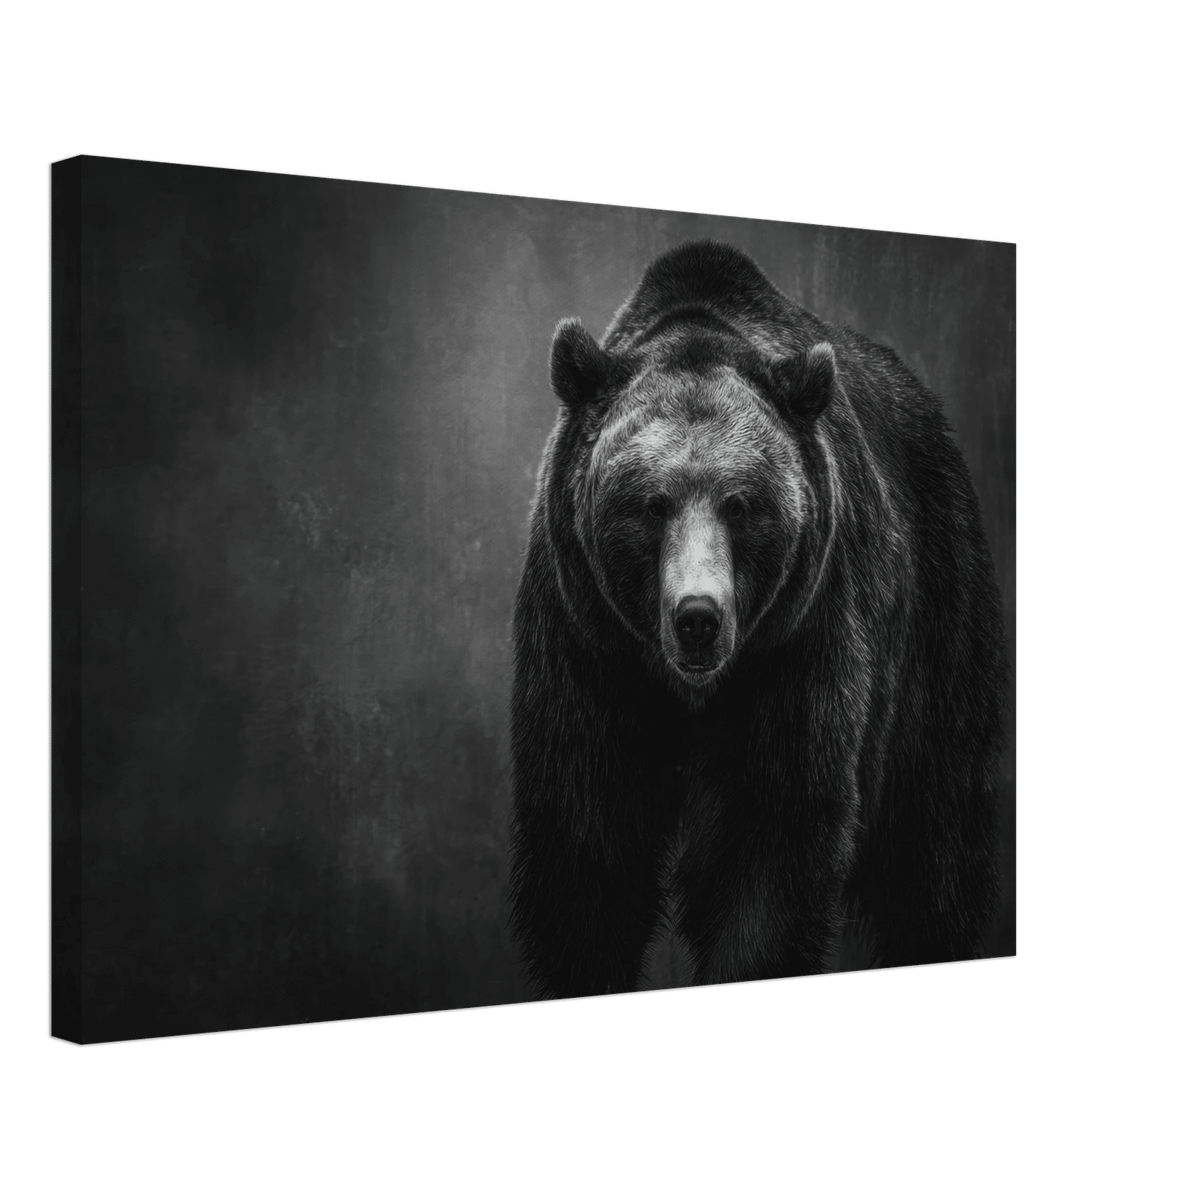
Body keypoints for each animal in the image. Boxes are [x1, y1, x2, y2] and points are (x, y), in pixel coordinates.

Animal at [508, 240, 1006, 1000]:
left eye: (741, 504)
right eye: (651, 504)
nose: (697, 618)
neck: (691, 690)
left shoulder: (801, 639)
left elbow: (772, 838)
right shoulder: (585, 641)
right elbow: (588, 839)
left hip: (940, 618)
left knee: (935, 845)